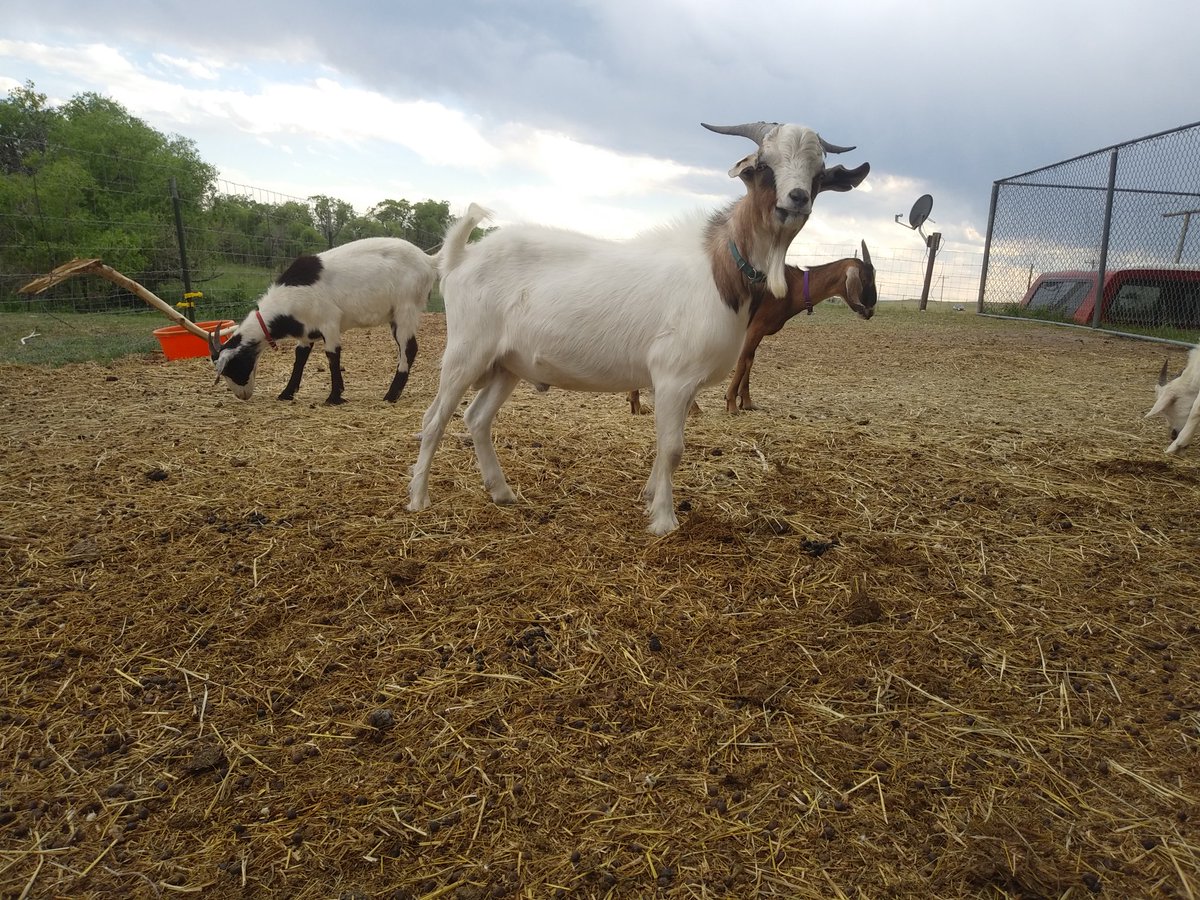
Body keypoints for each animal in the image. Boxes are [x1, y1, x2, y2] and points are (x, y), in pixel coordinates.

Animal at [210, 237, 436, 405]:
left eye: (231, 367)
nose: (242, 395)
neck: (289, 296)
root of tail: (428, 260)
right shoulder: (305, 330)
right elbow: (300, 357)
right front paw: (286, 393)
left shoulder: (330, 322)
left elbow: (332, 356)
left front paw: (334, 397)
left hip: (406, 308)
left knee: (409, 348)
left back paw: (391, 395)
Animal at [628, 242, 878, 415]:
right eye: (866, 279)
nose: (870, 310)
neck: (794, 286)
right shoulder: (755, 327)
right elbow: (743, 361)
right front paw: (731, 403)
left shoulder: (756, 331)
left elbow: (750, 361)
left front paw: (746, 402)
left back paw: (637, 404)